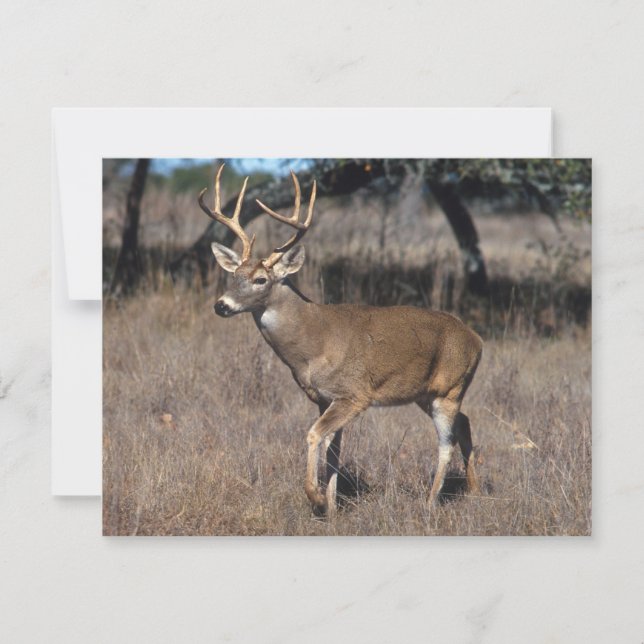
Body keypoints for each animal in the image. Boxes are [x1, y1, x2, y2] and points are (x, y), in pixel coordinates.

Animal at [199, 164, 483, 516]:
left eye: (260, 279)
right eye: (234, 276)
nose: (221, 305)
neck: (312, 345)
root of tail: (477, 340)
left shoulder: (354, 394)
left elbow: (313, 436)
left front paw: (317, 498)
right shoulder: (325, 398)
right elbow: (333, 450)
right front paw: (333, 507)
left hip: (449, 388)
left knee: (446, 442)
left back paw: (430, 503)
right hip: (427, 393)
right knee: (465, 423)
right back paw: (475, 492)